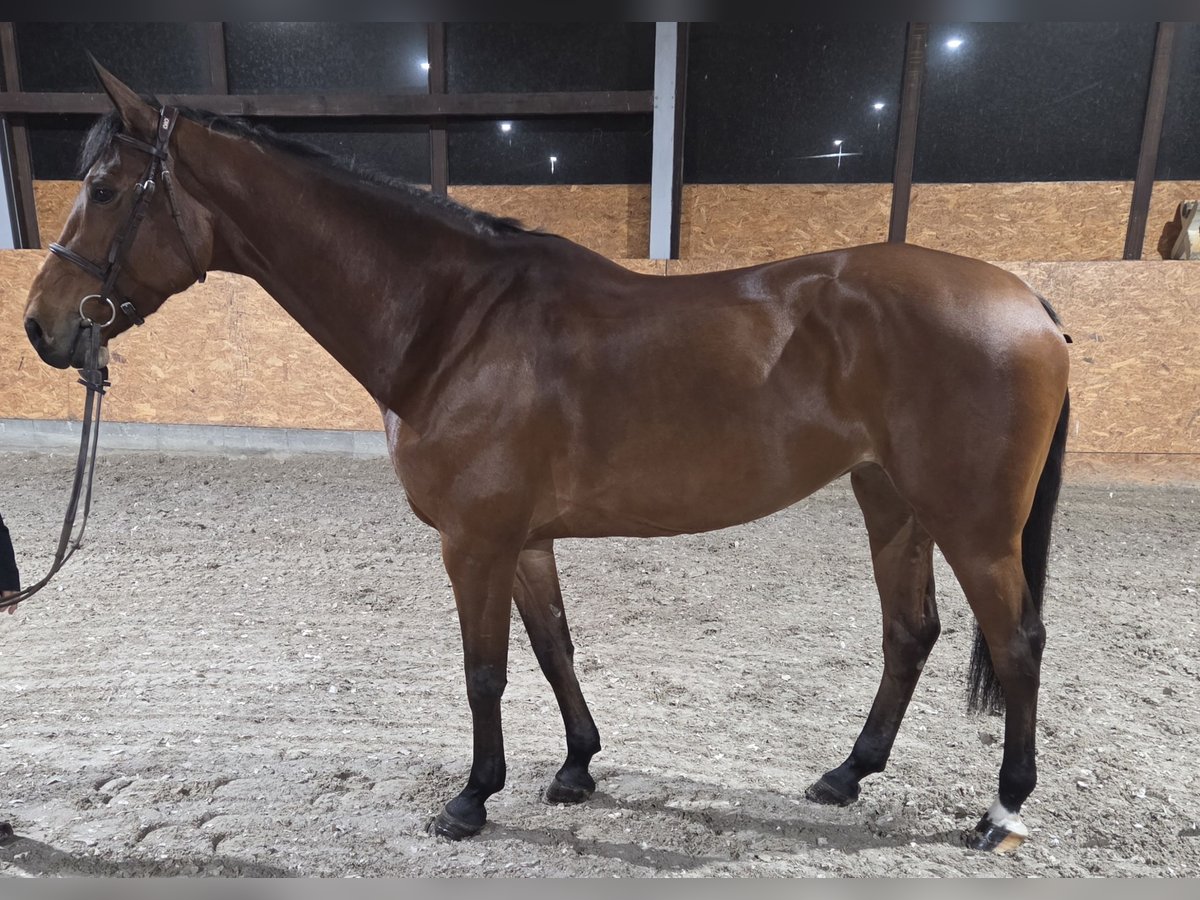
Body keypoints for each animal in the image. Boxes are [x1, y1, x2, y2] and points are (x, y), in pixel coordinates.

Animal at [23, 62, 1070, 854]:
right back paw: (846, 775)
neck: (454, 323)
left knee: (1016, 645)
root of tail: (1025, 299)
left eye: (105, 191)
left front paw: (470, 798)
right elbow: (554, 645)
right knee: (911, 633)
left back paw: (1002, 811)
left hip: (973, 526)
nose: (40, 327)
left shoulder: (472, 542)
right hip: (890, 499)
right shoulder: (524, 539)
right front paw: (574, 767)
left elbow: (485, 668)